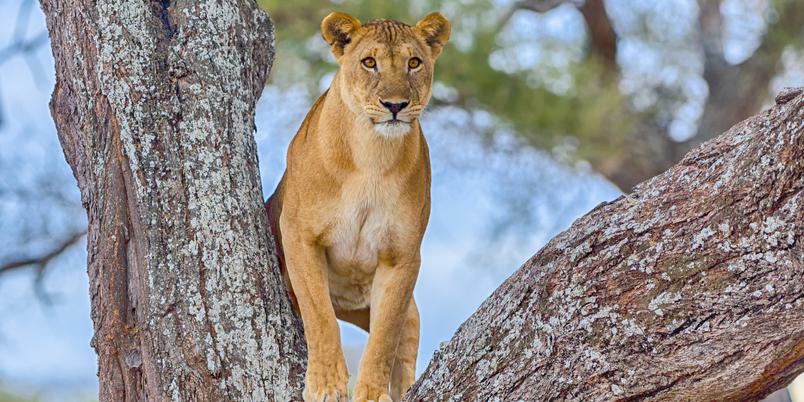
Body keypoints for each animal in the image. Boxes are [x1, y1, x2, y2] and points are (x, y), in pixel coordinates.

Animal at [265, 10, 450, 402]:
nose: (394, 105)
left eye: (414, 63)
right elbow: (320, 317)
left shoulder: (402, 256)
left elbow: (384, 337)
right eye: (369, 62)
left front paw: (371, 393)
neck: (372, 156)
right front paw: (326, 385)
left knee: (406, 339)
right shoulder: (300, 236)